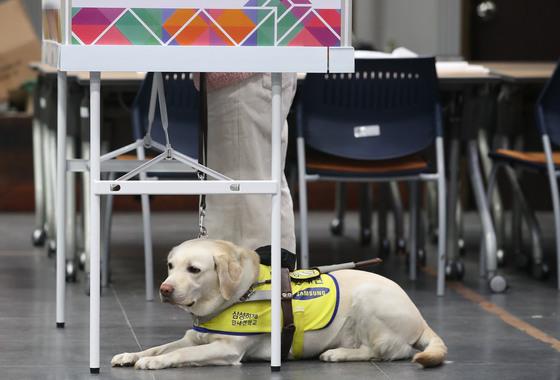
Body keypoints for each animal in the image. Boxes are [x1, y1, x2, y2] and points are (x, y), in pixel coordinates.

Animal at [112, 239, 446, 370]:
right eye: (170, 266)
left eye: (194, 269)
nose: (165, 289)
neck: (239, 293)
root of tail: (421, 317)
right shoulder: (193, 337)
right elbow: (159, 347)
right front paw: (132, 355)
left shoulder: (227, 349)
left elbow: (179, 354)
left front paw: (155, 363)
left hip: (369, 299)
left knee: (390, 351)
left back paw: (338, 354)